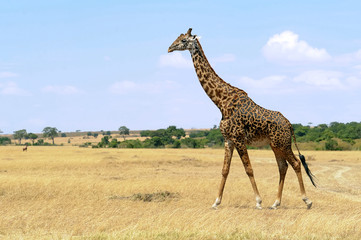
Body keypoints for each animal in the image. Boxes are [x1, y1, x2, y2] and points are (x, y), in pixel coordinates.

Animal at [167, 28, 314, 209]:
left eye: (183, 40)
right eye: (178, 38)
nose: (169, 48)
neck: (221, 102)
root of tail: (289, 124)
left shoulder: (238, 138)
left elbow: (248, 168)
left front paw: (258, 201)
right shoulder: (228, 140)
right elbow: (225, 170)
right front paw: (216, 202)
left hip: (283, 143)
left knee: (296, 163)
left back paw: (307, 200)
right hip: (275, 145)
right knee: (283, 167)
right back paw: (276, 203)